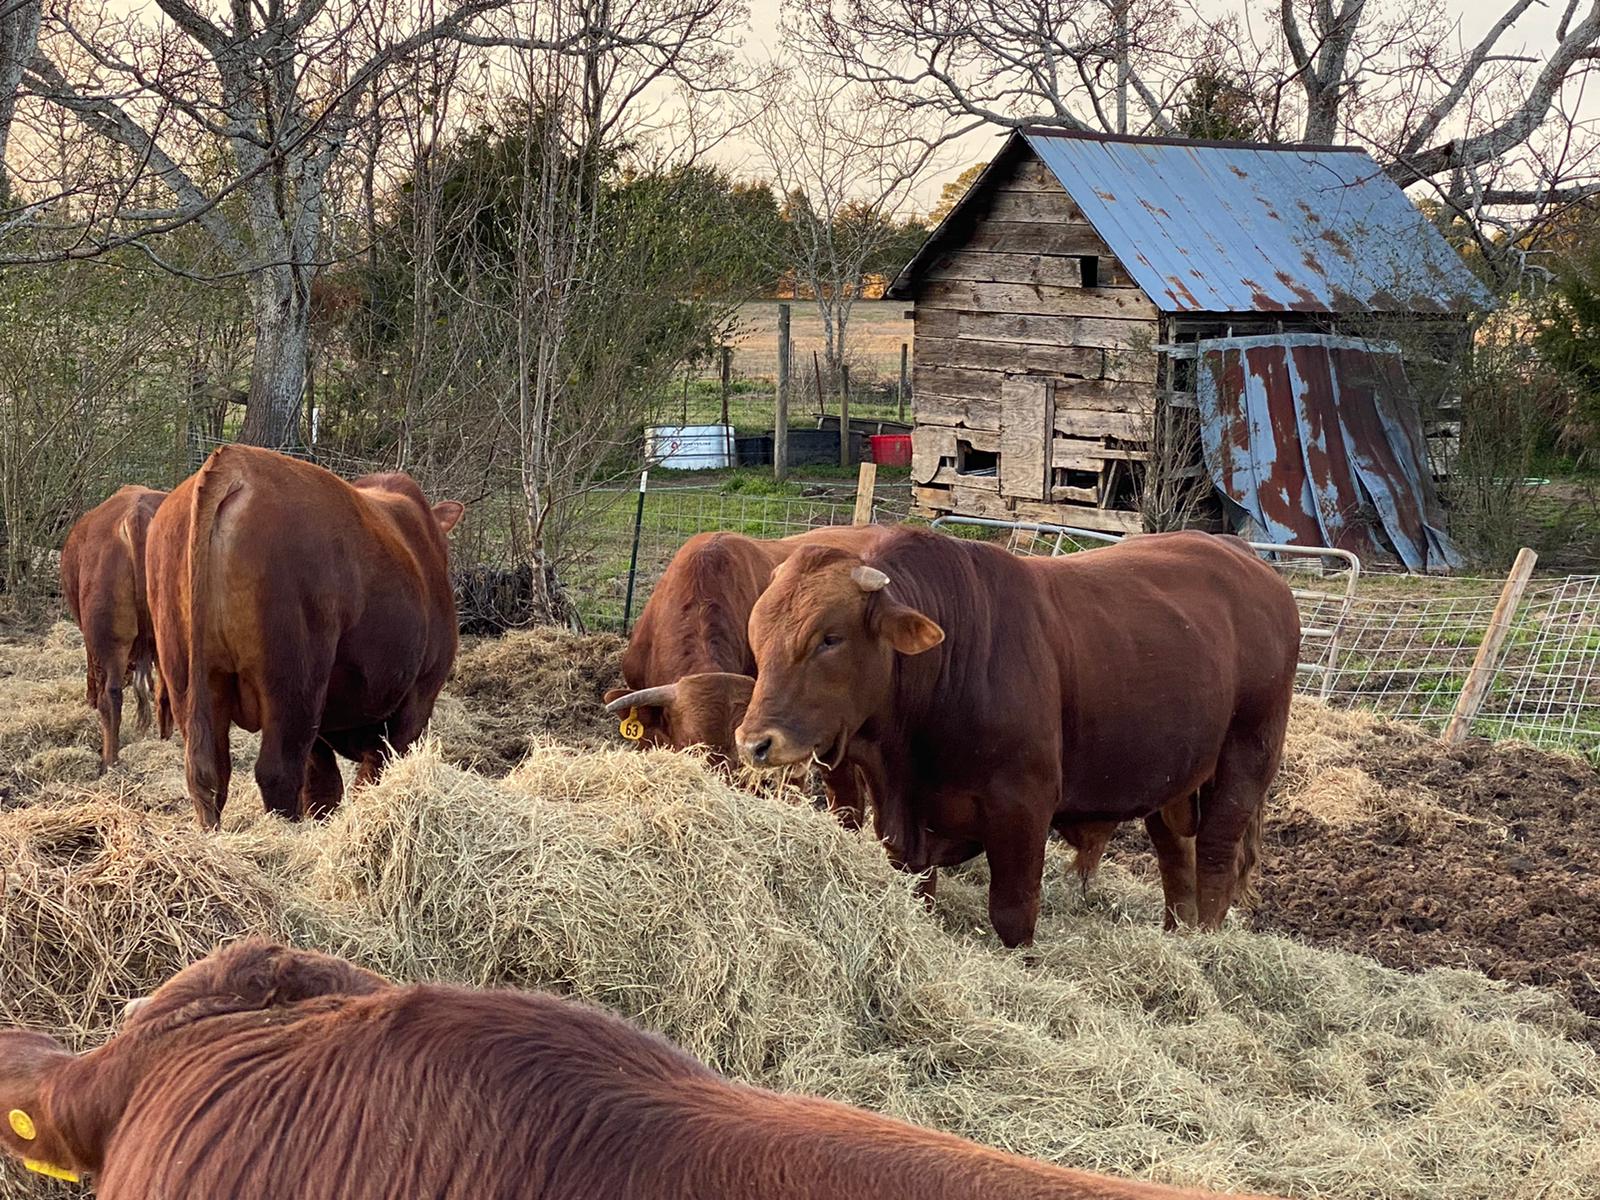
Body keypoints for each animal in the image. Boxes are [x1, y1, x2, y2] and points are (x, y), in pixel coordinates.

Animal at [59, 486, 171, 771]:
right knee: (167, 691)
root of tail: (137, 514)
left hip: (108, 635)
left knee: (110, 695)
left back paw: (109, 761)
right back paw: (167, 742)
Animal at [145, 445, 464, 830]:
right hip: (294, 680)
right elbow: (365, 779)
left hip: (189, 675)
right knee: (278, 771)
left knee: (208, 772)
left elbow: (324, 785)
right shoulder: (417, 699)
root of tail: (233, 459)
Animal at [735, 528, 1301, 947]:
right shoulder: (904, 829)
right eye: (758, 632)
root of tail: (1243, 557)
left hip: (1248, 755)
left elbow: (1013, 914)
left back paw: (1205, 944)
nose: (755, 742)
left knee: (1216, 855)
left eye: (830, 638)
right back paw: (1177, 939)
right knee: (1176, 856)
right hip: (1173, 774)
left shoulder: (1023, 808)